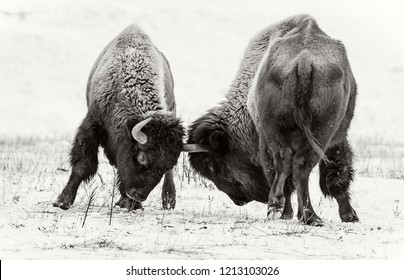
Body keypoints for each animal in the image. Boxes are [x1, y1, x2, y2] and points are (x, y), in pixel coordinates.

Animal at [52, 25, 184, 211]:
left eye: (166, 165)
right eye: (141, 157)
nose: (137, 195)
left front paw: (130, 203)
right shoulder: (93, 124)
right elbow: (82, 165)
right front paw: (62, 201)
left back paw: (168, 200)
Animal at [185, 14, 358, 225]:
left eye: (212, 164)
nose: (238, 200)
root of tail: (304, 60)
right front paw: (349, 215)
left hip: (286, 133)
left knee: (288, 165)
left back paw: (287, 209)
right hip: (317, 134)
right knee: (297, 167)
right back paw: (304, 215)